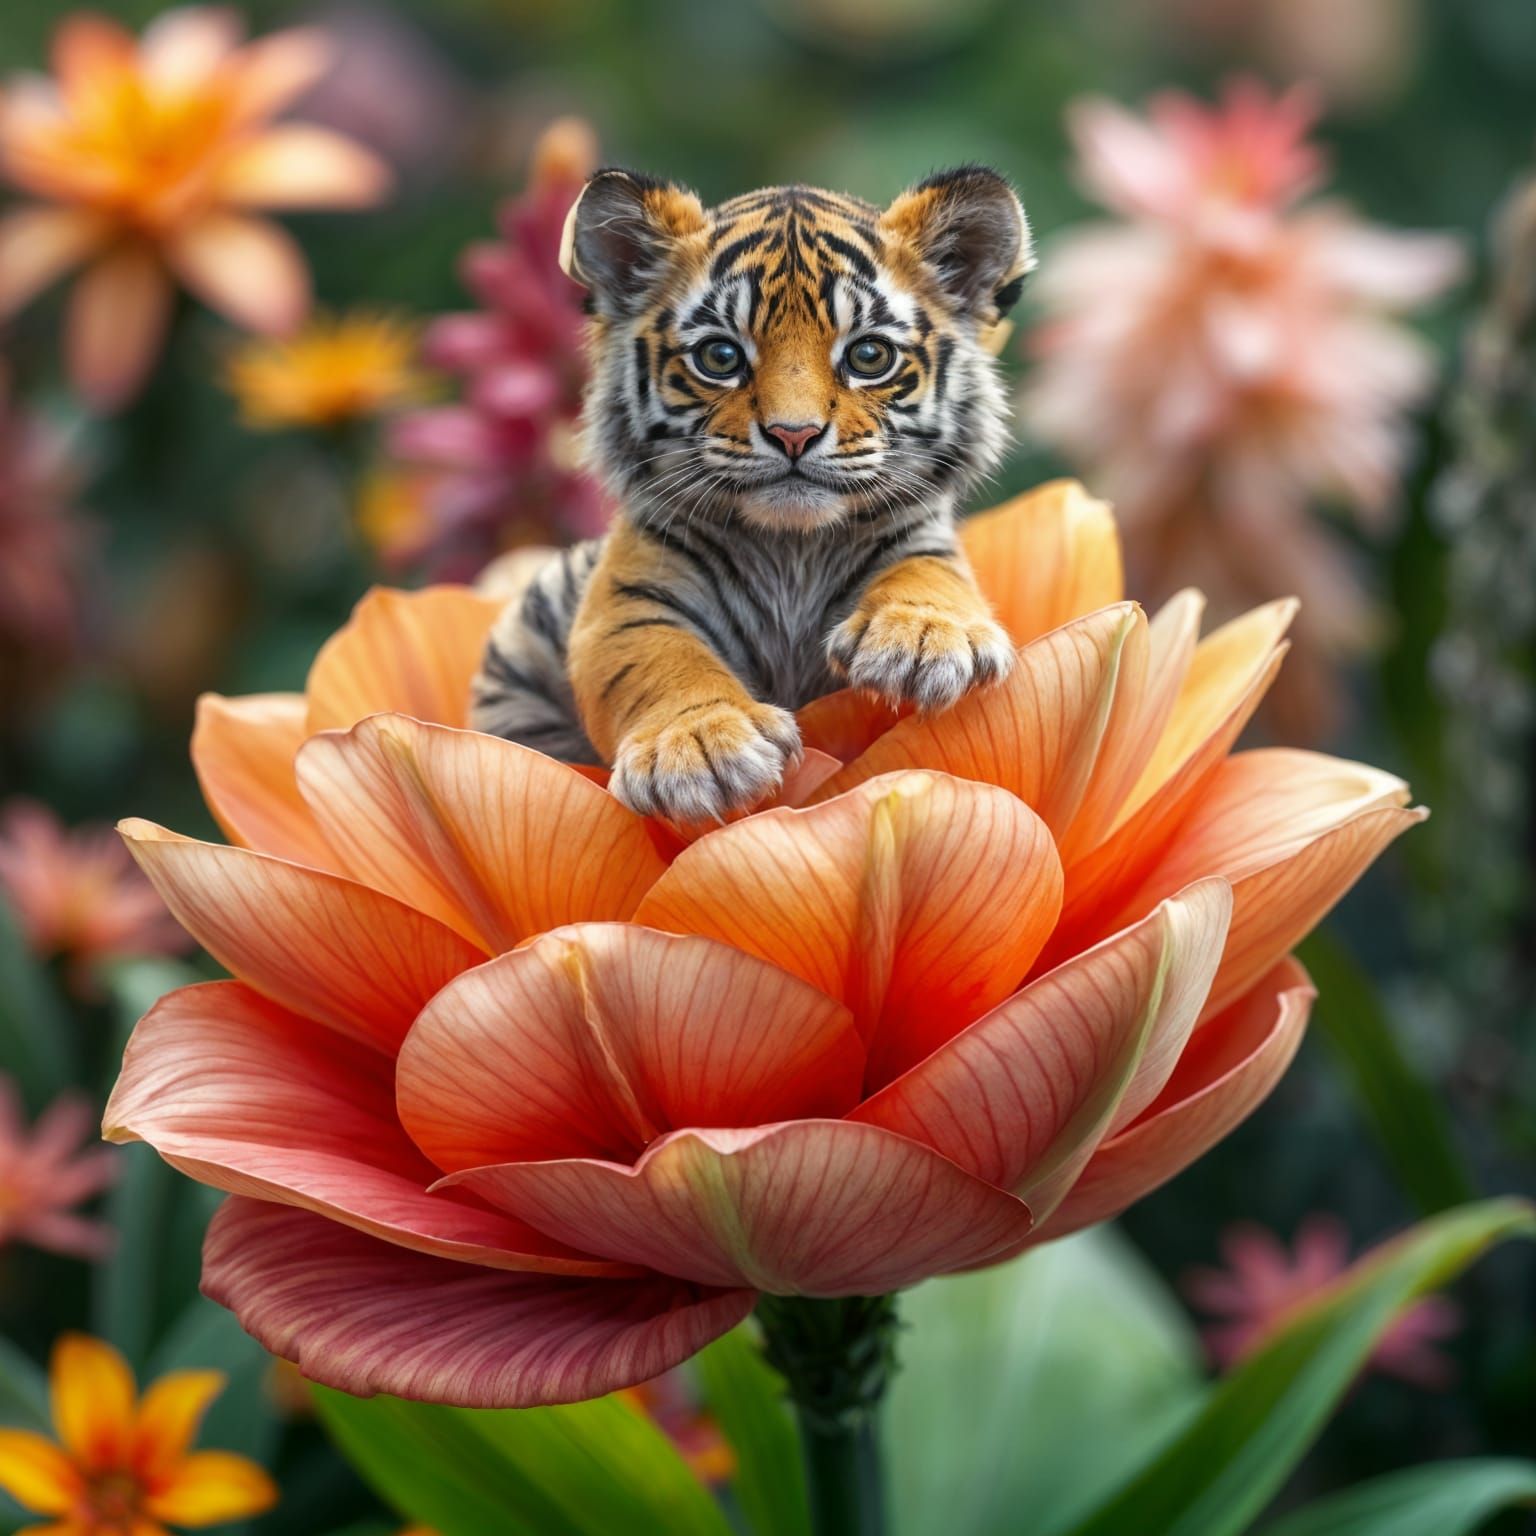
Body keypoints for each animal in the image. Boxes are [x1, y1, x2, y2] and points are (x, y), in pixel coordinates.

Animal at [469, 164, 1034, 823]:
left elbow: (928, 575)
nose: (795, 434)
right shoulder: (629, 595)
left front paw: (923, 639)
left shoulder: (921, 538)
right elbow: (656, 656)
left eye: (869, 355)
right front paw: (699, 747)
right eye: (720, 357)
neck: (791, 549)